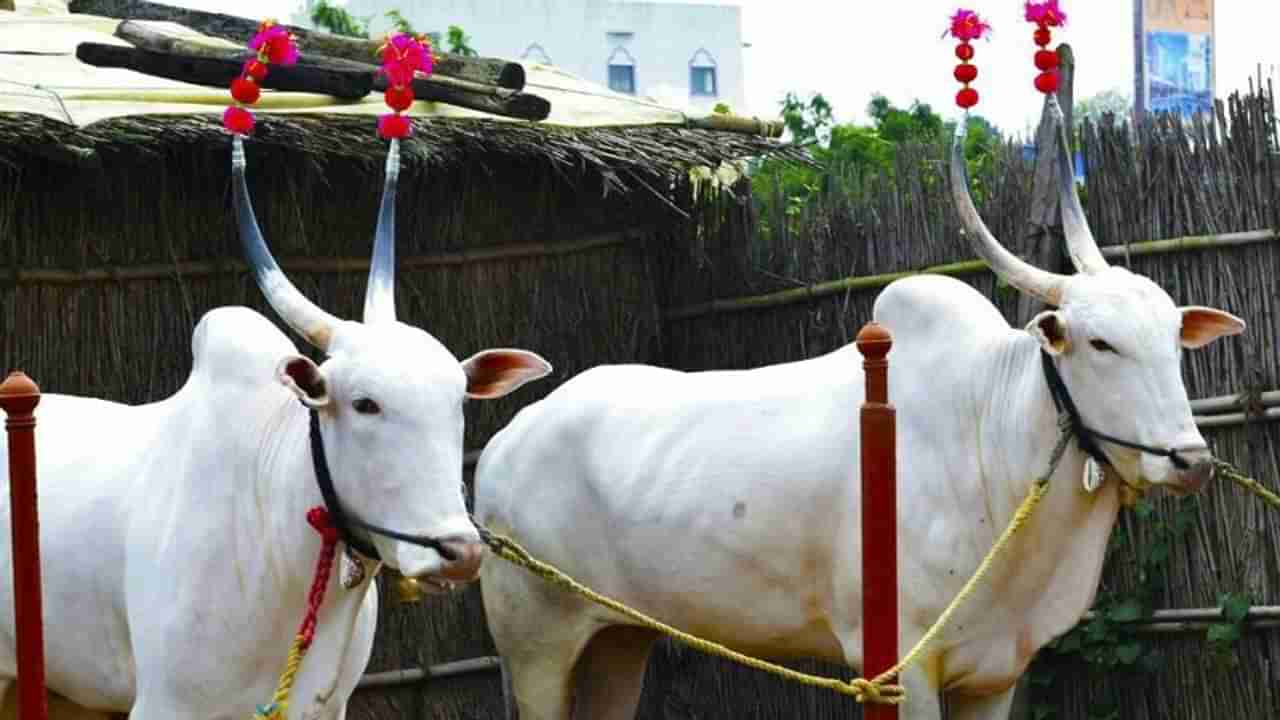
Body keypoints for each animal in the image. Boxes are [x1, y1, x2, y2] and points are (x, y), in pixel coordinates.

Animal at [476, 101, 1244, 717]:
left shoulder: (995, 675)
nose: (1190, 460)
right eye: (1099, 342)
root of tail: (504, 444)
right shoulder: (905, 664)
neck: (990, 439)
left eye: (1173, 337)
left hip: (620, 638)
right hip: (537, 647)